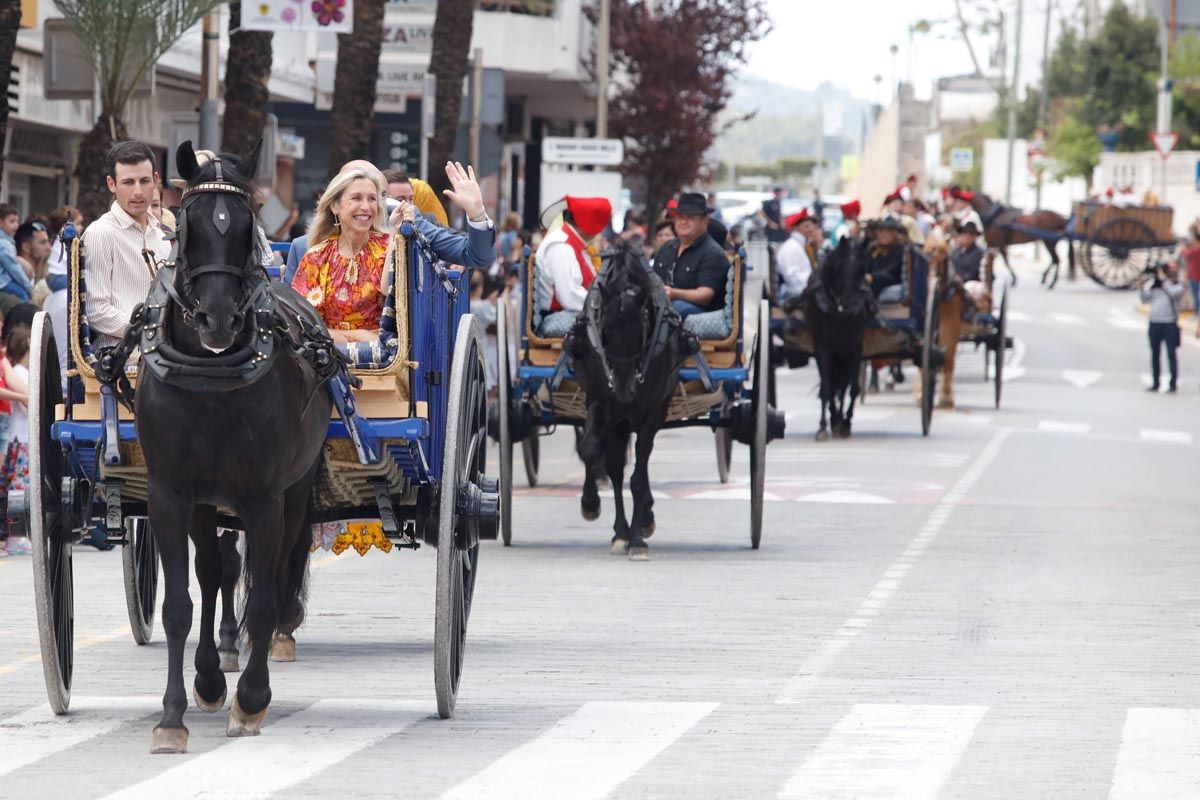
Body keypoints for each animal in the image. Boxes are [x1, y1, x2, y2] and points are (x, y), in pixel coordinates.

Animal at [133, 142, 333, 753]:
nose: (217, 319)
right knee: (214, 570)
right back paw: (208, 673)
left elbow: (263, 600)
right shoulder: (171, 494)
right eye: (187, 223)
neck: (210, 373)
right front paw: (173, 715)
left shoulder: (265, 498)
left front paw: (251, 699)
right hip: (206, 505)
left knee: (274, 571)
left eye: (248, 224)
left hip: (293, 493)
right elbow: (179, 604)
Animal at [568, 241, 700, 561]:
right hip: (618, 419)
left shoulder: (652, 410)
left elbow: (639, 474)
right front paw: (590, 503)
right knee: (616, 468)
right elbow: (590, 449)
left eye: (641, 330)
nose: (624, 389)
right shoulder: (600, 401)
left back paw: (641, 523)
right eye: (604, 331)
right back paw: (621, 532)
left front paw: (638, 538)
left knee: (640, 461)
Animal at [806, 237, 873, 441]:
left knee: (842, 386)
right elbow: (826, 388)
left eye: (863, 269)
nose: (849, 303)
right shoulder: (822, 347)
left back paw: (838, 421)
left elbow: (852, 388)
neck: (839, 311)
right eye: (838, 267)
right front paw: (822, 427)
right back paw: (833, 419)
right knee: (833, 385)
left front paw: (846, 422)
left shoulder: (854, 347)